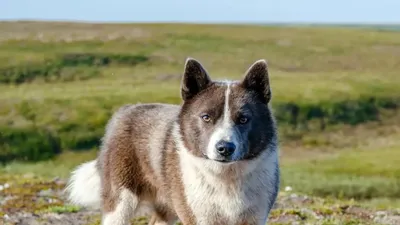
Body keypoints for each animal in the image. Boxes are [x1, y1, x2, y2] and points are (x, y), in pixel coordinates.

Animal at [65, 58, 280, 225]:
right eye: (206, 117)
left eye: (243, 119)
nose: (224, 148)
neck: (226, 178)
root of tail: (126, 110)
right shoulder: (198, 216)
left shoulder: (256, 217)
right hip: (121, 202)